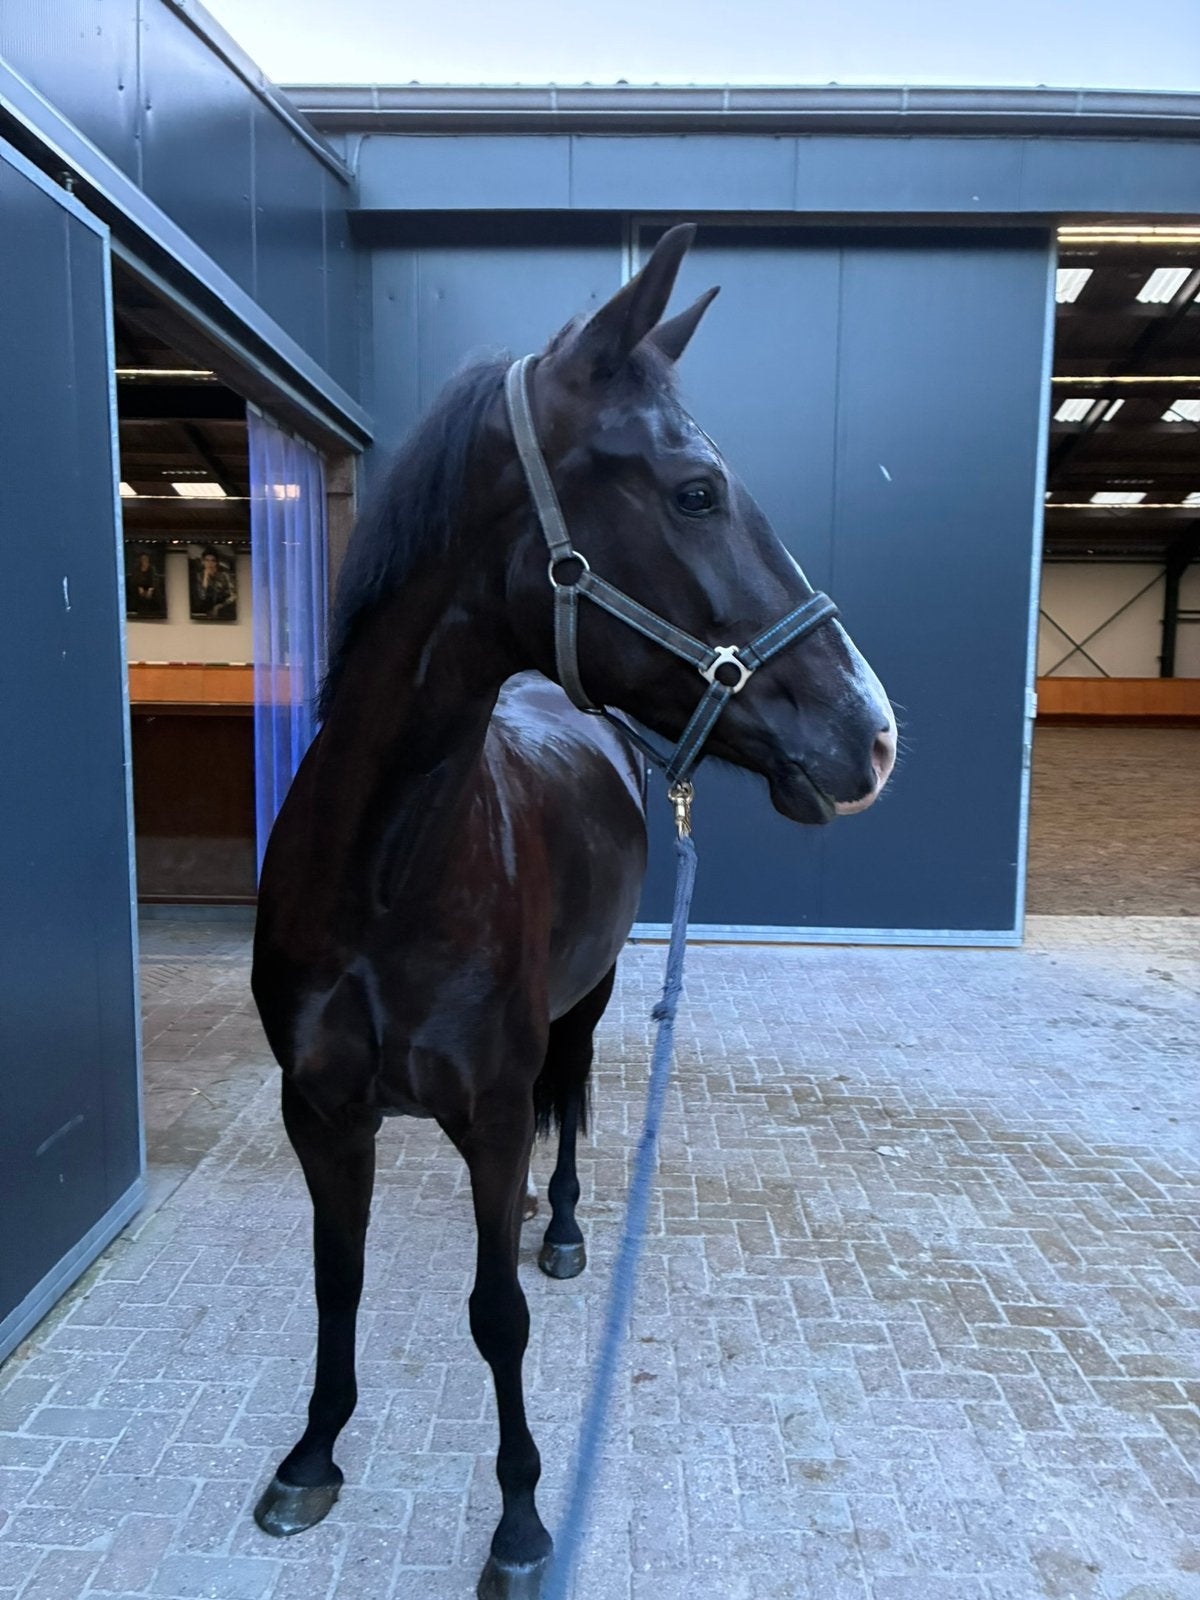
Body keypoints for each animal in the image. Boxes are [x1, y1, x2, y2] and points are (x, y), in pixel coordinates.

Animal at [250, 224, 896, 1599]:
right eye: (697, 491)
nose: (870, 735)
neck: (380, 872)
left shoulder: (492, 1115)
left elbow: (498, 1315)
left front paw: (522, 1523)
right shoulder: (318, 1110)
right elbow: (337, 1278)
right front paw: (314, 1454)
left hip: (590, 1002)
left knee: (576, 1106)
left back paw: (561, 1229)